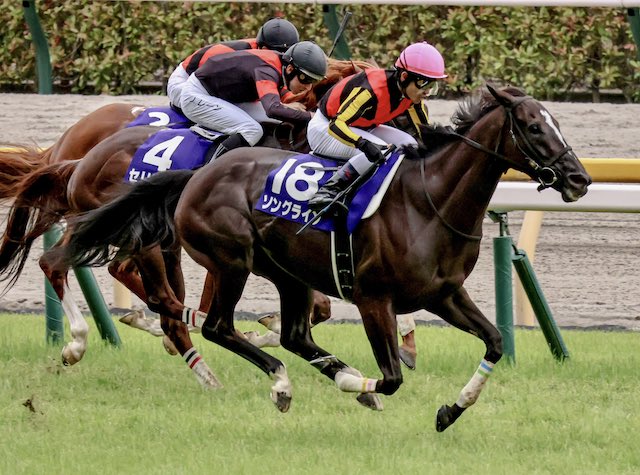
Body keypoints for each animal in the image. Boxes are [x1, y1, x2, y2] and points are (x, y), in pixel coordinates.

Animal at [42, 86, 592, 432]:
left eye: (556, 123)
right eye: (532, 126)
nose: (579, 179)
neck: (428, 199)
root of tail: (196, 175)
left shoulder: (443, 294)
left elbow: (495, 342)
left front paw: (450, 411)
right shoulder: (373, 298)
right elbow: (392, 377)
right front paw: (363, 382)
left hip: (286, 273)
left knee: (290, 334)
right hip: (231, 258)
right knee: (211, 323)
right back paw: (281, 381)